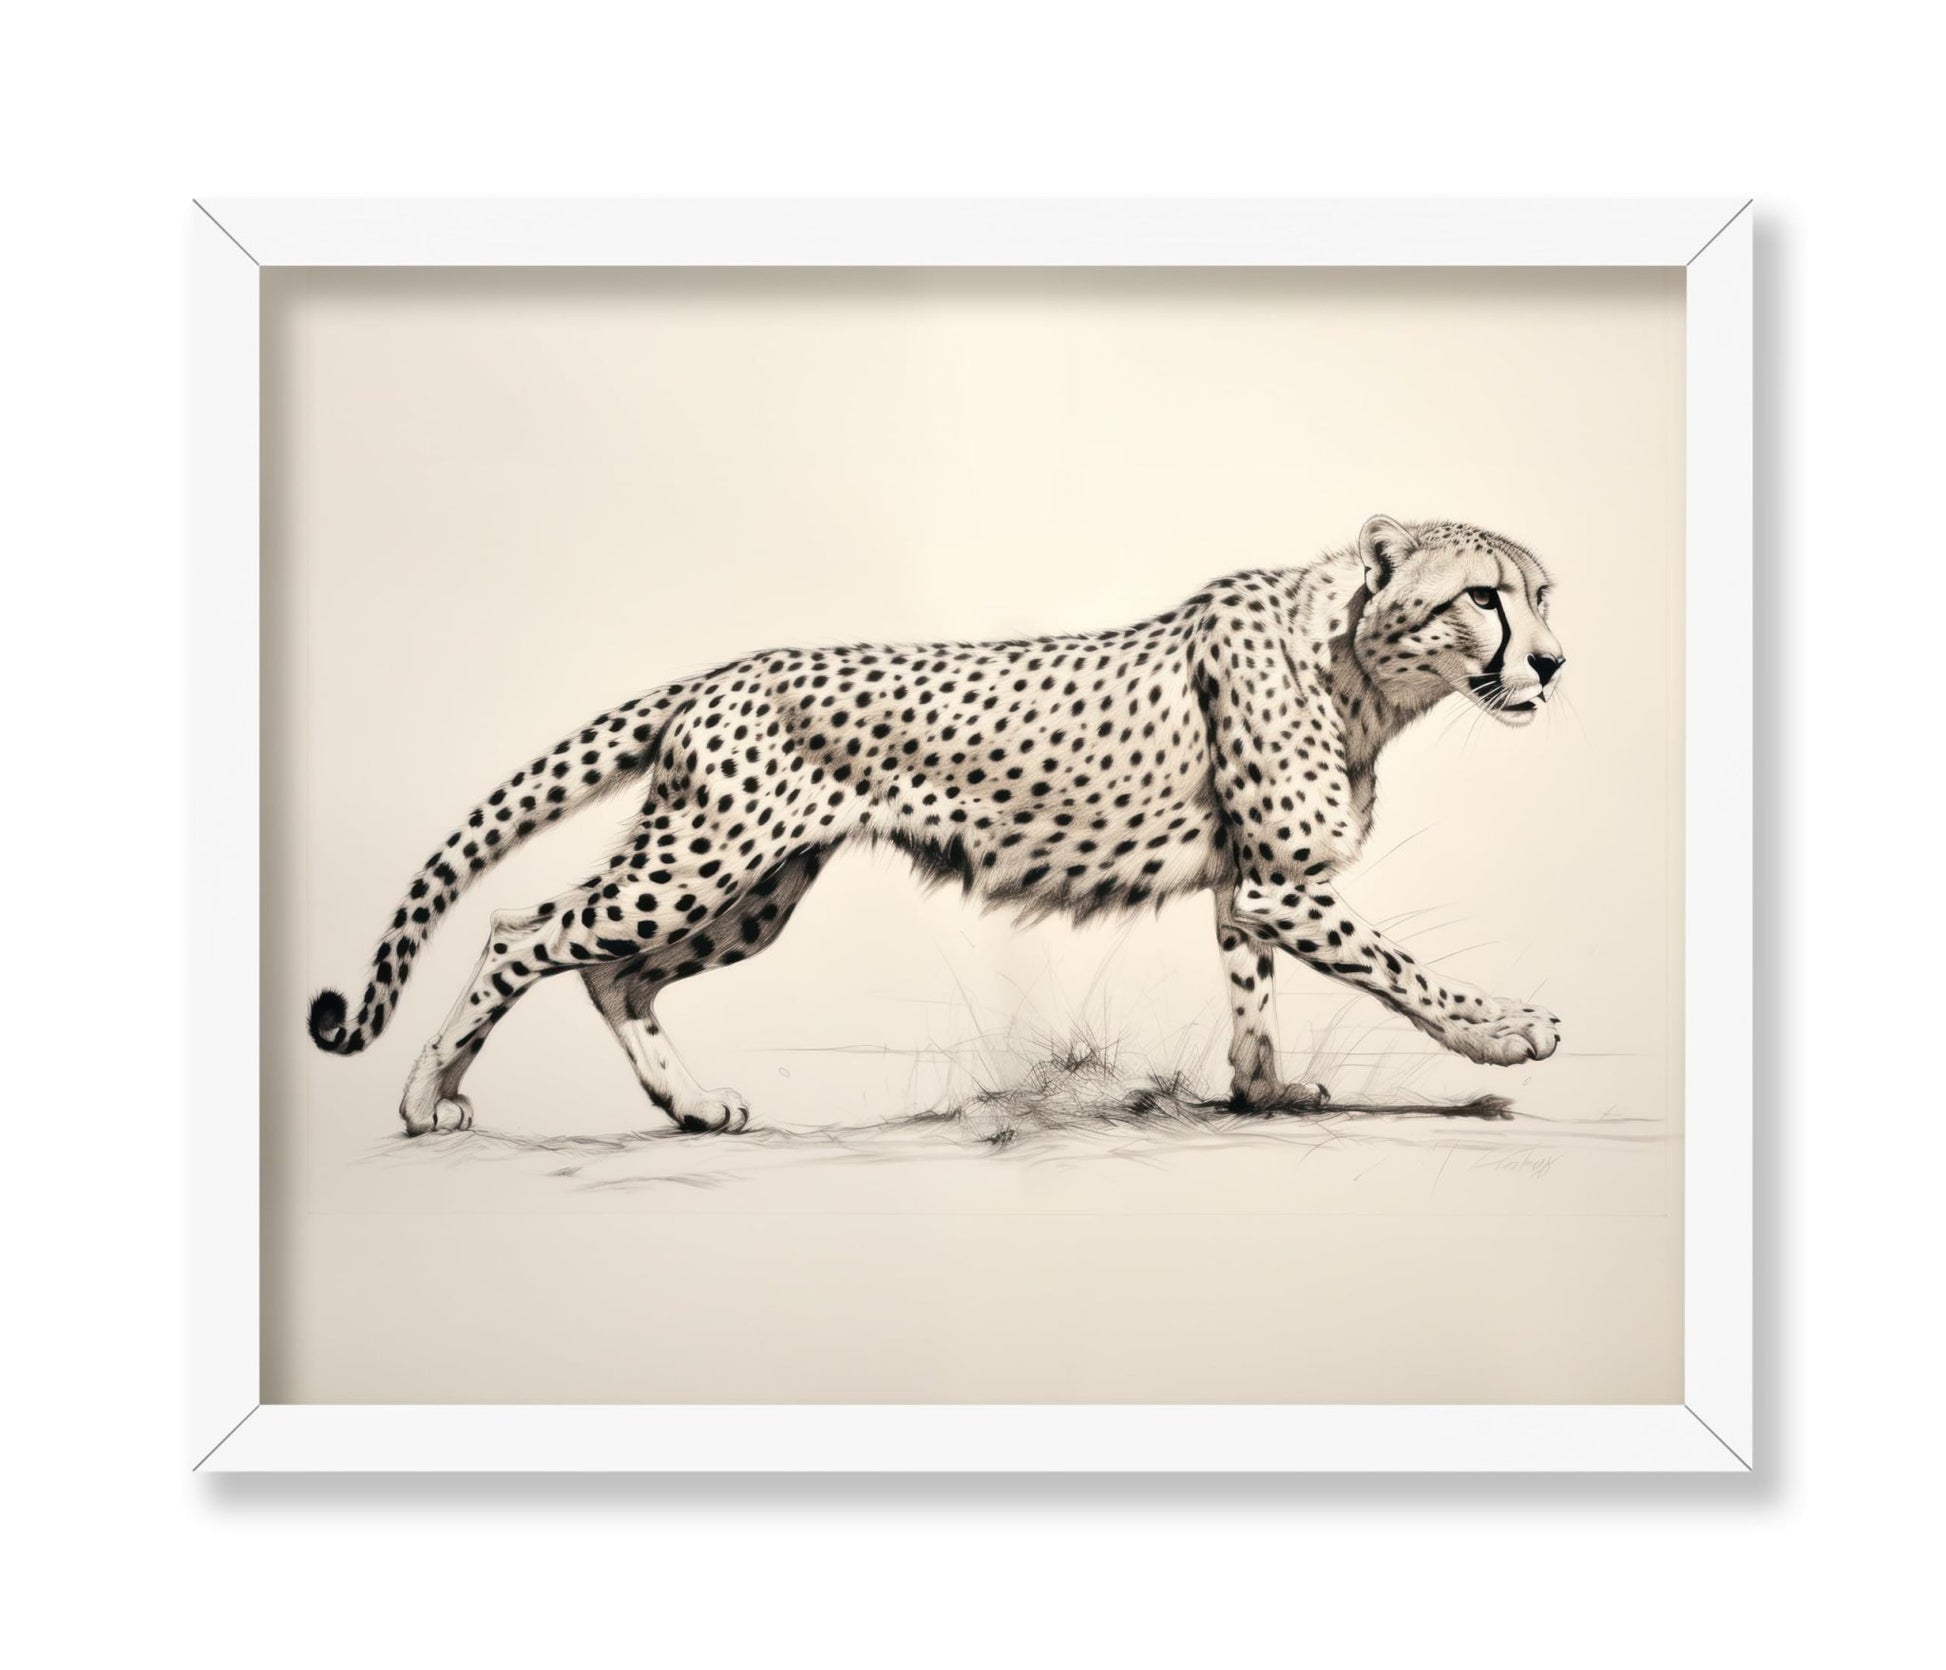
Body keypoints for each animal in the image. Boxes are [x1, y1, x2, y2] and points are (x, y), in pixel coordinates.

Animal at [309, 515, 1567, 1136]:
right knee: (523, 928)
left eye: (1542, 594)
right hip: (699, 862)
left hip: (751, 890)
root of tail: (718, 670)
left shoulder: (1246, 884)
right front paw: (1509, 1032)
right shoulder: (1278, 882)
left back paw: (691, 1106)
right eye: (1482, 596)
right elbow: (1402, 969)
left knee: (613, 972)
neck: (1356, 659)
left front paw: (1262, 1092)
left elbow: (1251, 995)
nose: (1552, 663)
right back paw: (424, 1098)